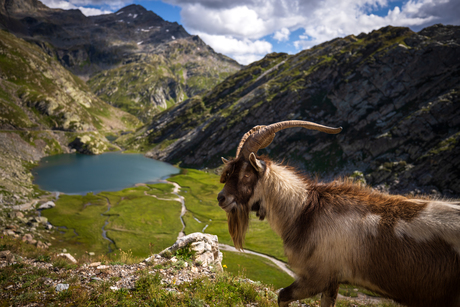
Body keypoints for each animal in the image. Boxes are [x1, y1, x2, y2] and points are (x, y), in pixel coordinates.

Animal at [217, 120, 460, 307]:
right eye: (229, 172)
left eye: (246, 174)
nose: (221, 198)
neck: (304, 210)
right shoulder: (332, 281)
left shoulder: (317, 275)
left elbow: (282, 296)